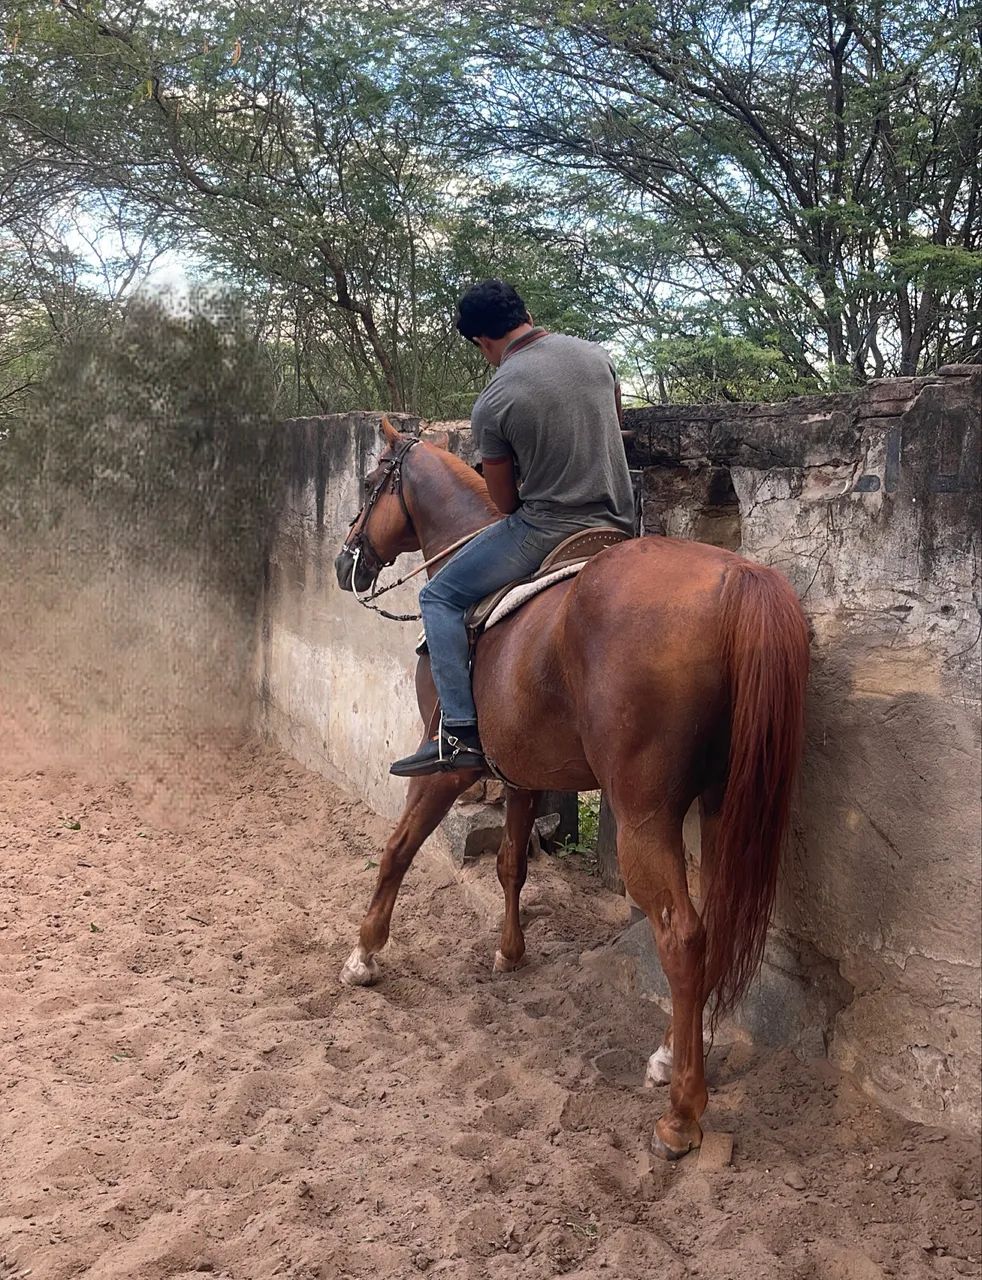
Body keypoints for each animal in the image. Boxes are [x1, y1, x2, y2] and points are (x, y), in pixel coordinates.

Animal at [334, 416, 810, 1160]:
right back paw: (672, 1055)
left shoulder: (452, 770)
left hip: (644, 815)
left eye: (369, 480)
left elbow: (397, 850)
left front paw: (364, 954)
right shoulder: (524, 774)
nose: (345, 562)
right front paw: (509, 952)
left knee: (682, 935)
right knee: (713, 921)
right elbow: (510, 863)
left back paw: (682, 1114)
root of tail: (737, 577)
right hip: (718, 807)